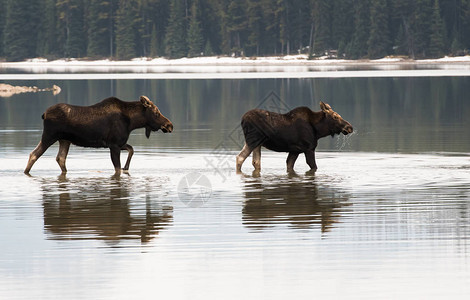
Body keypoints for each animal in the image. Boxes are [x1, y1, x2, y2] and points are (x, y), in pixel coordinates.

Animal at [23, 95, 173, 175]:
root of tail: (44, 114)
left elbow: (131, 149)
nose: (169, 125)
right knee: (34, 154)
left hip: (64, 140)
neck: (132, 122)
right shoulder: (114, 144)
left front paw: (126, 167)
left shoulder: (118, 143)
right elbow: (117, 168)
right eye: (156, 112)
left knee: (60, 158)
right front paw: (123, 167)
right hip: (49, 136)